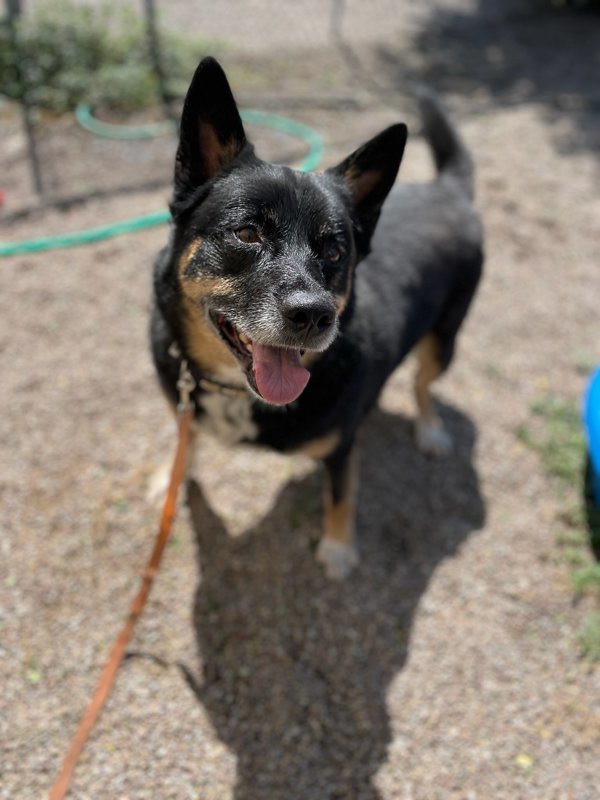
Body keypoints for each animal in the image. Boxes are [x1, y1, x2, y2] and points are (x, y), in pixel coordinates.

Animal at [150, 57, 482, 580]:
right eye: (247, 233)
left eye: (333, 251)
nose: (314, 315)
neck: (234, 390)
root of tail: (447, 189)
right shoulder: (181, 399)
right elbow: (187, 445)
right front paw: (171, 475)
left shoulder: (341, 447)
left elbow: (340, 496)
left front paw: (339, 548)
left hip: (443, 338)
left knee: (423, 383)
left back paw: (429, 428)